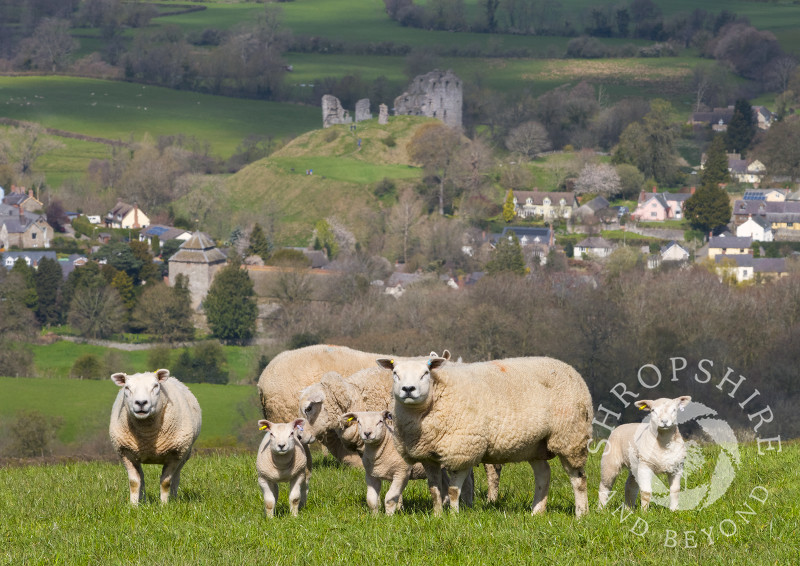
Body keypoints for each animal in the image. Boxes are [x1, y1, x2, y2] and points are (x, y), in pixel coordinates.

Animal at [108, 370, 202, 508]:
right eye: (127, 387)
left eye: (155, 386)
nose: (141, 402)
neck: (148, 437)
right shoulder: (125, 452)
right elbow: (134, 482)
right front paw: (133, 506)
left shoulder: (175, 454)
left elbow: (166, 482)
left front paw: (164, 506)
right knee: (141, 478)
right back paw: (143, 500)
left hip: (185, 454)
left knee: (176, 477)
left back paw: (173, 498)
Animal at [382, 360, 592, 520]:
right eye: (395, 373)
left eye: (425, 373)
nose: (408, 389)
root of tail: (572, 371)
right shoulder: (428, 456)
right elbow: (434, 490)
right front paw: (437, 516)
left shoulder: (463, 450)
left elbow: (453, 490)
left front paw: (453, 517)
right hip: (535, 444)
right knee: (543, 474)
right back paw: (536, 512)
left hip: (570, 437)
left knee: (578, 478)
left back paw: (581, 514)